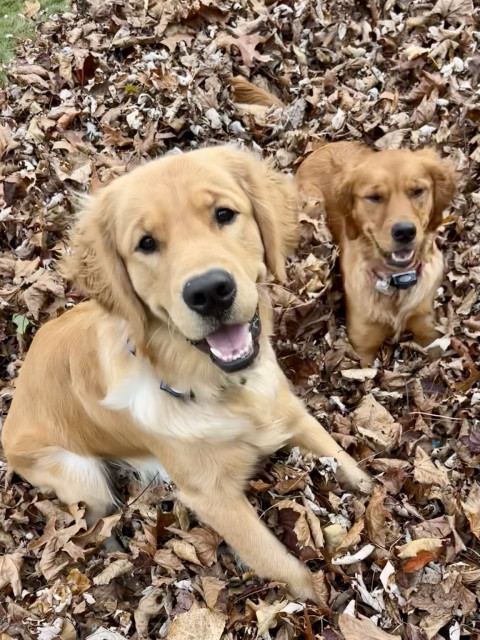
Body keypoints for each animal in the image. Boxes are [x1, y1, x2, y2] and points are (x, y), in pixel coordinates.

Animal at [0, 148, 372, 604]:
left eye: (224, 214)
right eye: (145, 243)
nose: (209, 291)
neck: (221, 386)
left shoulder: (288, 411)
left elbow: (346, 463)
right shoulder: (211, 497)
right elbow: (276, 560)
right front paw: (320, 602)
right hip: (80, 474)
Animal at [294, 143, 456, 368]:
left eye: (417, 191)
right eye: (374, 197)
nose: (405, 232)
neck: (395, 281)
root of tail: (322, 147)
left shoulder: (429, 331)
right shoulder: (363, 348)